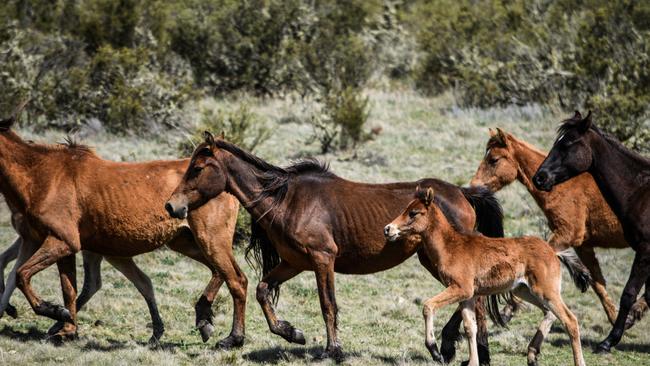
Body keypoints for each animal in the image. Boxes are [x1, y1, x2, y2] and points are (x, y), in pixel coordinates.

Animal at [0, 104, 246, 348]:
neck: (41, 176)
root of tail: (228, 182)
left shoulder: (61, 242)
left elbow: (22, 275)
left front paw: (56, 315)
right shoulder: (55, 243)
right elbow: (66, 289)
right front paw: (66, 327)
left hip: (210, 239)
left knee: (235, 278)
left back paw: (228, 335)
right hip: (185, 243)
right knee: (218, 272)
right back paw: (201, 321)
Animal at [165, 132, 504, 364]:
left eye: (197, 168)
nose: (171, 206)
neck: (287, 199)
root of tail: (462, 192)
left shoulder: (322, 260)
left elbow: (328, 305)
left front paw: (333, 350)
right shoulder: (293, 263)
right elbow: (262, 290)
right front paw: (287, 333)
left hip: (441, 260)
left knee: (475, 298)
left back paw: (453, 348)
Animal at [384, 187, 588, 366]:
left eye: (413, 213)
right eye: (405, 209)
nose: (388, 229)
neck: (451, 246)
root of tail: (553, 251)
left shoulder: (461, 288)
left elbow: (428, 306)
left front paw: (435, 351)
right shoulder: (468, 295)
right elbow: (470, 327)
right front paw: (472, 362)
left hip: (546, 291)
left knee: (570, 320)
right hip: (524, 290)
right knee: (550, 313)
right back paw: (531, 355)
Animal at [468, 128, 644, 326]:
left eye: (494, 159)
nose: (473, 186)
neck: (559, 185)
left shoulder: (566, 235)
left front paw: (509, 309)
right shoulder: (583, 246)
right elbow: (598, 283)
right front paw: (617, 319)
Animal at [532, 112, 648, 354]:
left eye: (567, 144)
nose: (539, 178)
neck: (640, 192)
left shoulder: (645, 250)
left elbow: (628, 294)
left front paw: (608, 341)